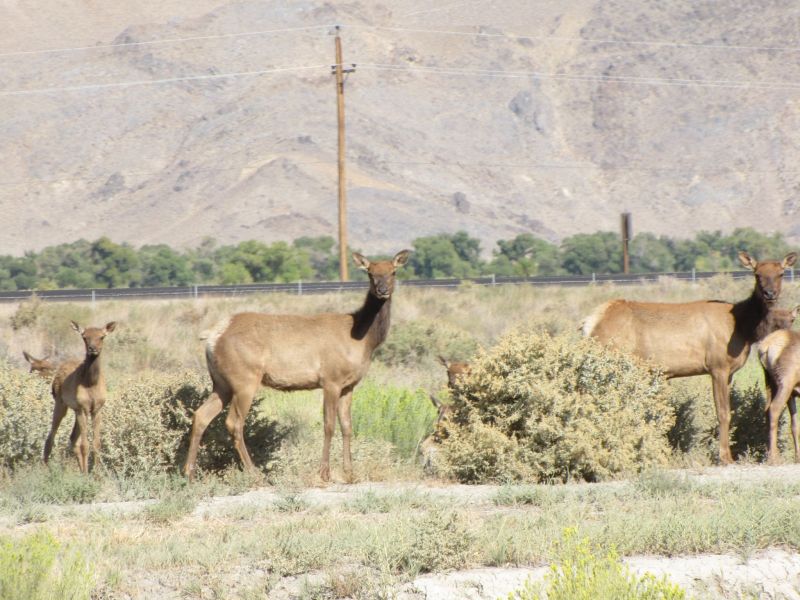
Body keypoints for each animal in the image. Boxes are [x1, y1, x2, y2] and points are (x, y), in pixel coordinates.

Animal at [43, 321, 117, 473]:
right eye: (84, 337)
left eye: (102, 337)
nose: (92, 349)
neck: (91, 383)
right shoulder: (82, 408)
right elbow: (85, 445)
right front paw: (88, 474)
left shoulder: (96, 409)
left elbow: (96, 444)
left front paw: (96, 474)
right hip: (61, 404)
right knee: (51, 435)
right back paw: (46, 469)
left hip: (75, 410)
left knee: (72, 439)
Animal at [184, 250, 411, 483]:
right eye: (370, 273)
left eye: (393, 272)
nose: (382, 290)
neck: (364, 340)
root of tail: (212, 337)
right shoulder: (331, 379)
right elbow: (329, 425)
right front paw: (324, 472)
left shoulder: (349, 385)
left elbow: (347, 426)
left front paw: (350, 472)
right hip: (244, 379)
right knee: (234, 422)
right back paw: (254, 473)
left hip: (222, 383)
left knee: (201, 415)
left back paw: (188, 474)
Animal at [758, 306, 800, 463]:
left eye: (792, 319)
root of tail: (766, 347)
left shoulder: (793, 394)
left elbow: (794, 425)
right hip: (785, 383)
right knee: (774, 408)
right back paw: (774, 458)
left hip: (770, 382)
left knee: (766, 410)